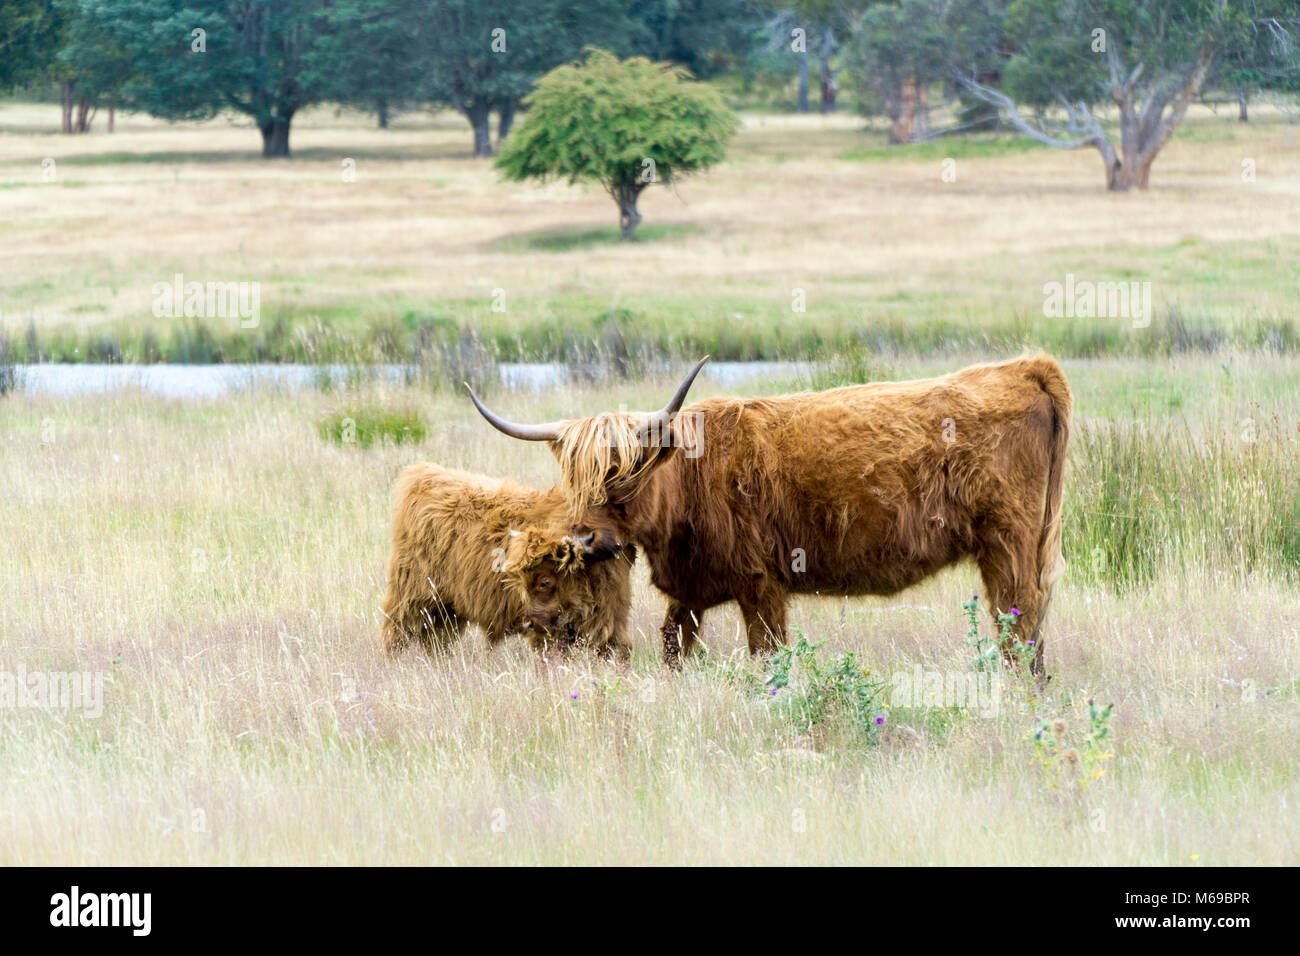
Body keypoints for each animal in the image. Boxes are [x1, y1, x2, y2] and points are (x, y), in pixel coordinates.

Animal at [379, 465, 637, 660]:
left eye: (544, 581)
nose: (528, 622)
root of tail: (423, 474)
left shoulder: (610, 626)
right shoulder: (549, 634)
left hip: (445, 609)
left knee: (437, 641)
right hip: (412, 595)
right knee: (395, 633)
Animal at [467, 353, 1076, 681]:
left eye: (627, 472)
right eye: (575, 479)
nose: (586, 539)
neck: (688, 483)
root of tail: (1026, 367)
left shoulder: (761, 585)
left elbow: (768, 656)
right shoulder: (689, 591)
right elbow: (673, 647)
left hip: (1009, 548)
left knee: (1019, 631)